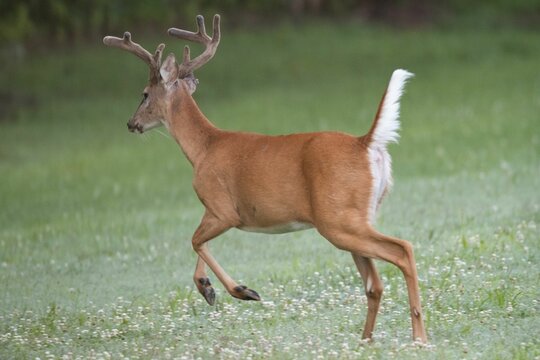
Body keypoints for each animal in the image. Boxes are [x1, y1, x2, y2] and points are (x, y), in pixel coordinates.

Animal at [103, 14, 428, 342]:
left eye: (144, 94)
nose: (131, 123)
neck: (204, 148)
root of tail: (366, 143)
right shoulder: (212, 209)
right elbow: (199, 242)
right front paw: (207, 288)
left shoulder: (223, 208)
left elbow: (195, 240)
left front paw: (242, 291)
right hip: (358, 216)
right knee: (375, 284)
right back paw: (366, 340)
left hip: (337, 219)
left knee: (402, 250)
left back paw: (418, 337)